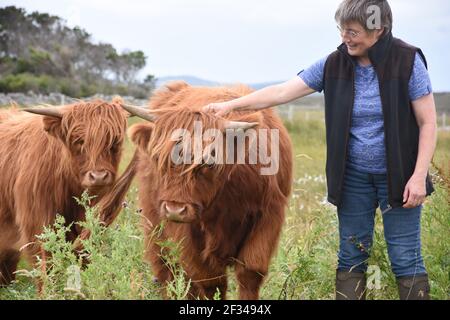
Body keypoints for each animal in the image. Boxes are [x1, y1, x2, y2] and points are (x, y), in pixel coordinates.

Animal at [0, 99, 128, 284]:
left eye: (114, 142)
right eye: (79, 141)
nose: (98, 177)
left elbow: (85, 255)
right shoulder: (37, 223)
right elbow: (46, 262)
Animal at [124, 80, 292, 300]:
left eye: (210, 162)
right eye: (157, 157)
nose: (175, 210)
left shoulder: (269, 216)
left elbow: (249, 273)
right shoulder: (186, 232)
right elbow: (209, 281)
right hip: (155, 223)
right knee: (166, 269)